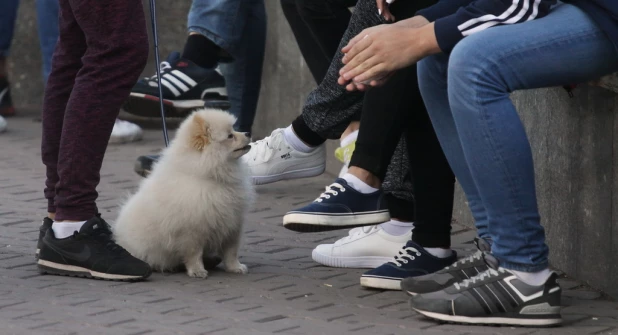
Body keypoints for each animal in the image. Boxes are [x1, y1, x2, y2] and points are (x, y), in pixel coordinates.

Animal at [114, 108, 251, 278]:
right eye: (230, 136)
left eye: (234, 129)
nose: (248, 132)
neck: (209, 176)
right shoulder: (192, 230)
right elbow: (194, 253)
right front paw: (197, 270)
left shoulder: (233, 222)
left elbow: (231, 251)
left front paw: (235, 267)